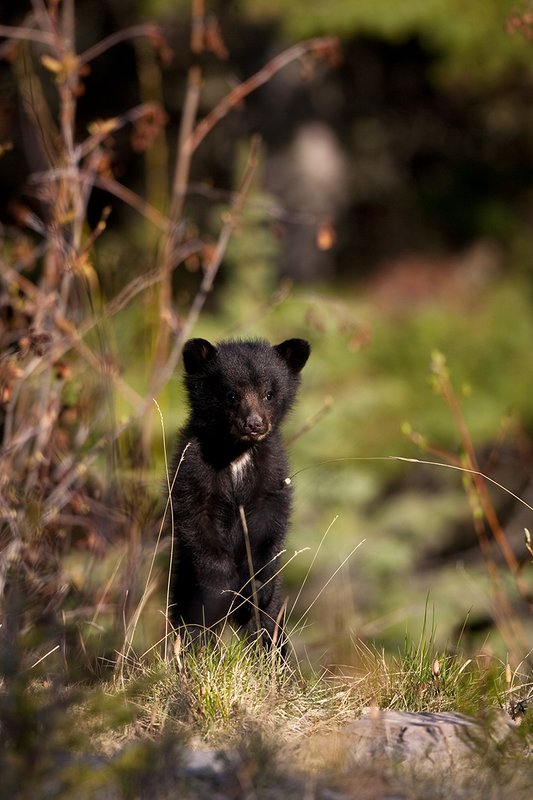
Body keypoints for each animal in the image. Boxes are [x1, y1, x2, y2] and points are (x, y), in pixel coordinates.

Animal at [168, 337, 310, 653]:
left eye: (269, 394)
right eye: (231, 395)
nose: (254, 424)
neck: (236, 453)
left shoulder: (271, 472)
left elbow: (271, 523)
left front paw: (255, 587)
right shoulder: (194, 467)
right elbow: (196, 518)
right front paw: (222, 588)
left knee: (268, 624)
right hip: (183, 580)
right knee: (190, 621)